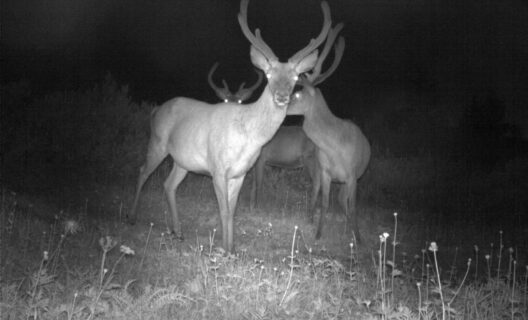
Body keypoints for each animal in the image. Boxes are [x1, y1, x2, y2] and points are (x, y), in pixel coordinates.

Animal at [130, 0, 332, 252]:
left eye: (295, 78)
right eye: (268, 74)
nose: (282, 97)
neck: (247, 138)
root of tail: (156, 110)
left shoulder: (240, 173)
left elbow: (233, 211)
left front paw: (231, 248)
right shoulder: (217, 168)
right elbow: (224, 211)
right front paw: (225, 250)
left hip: (183, 160)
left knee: (168, 185)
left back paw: (177, 231)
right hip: (157, 142)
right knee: (142, 171)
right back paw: (132, 216)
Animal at [286, 22, 370, 241]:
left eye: (297, 94)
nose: (280, 105)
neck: (335, 148)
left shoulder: (352, 174)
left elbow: (354, 207)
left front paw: (359, 239)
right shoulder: (325, 172)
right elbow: (324, 203)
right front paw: (318, 233)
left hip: (351, 179)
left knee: (344, 202)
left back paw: (352, 230)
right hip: (323, 173)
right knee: (332, 198)